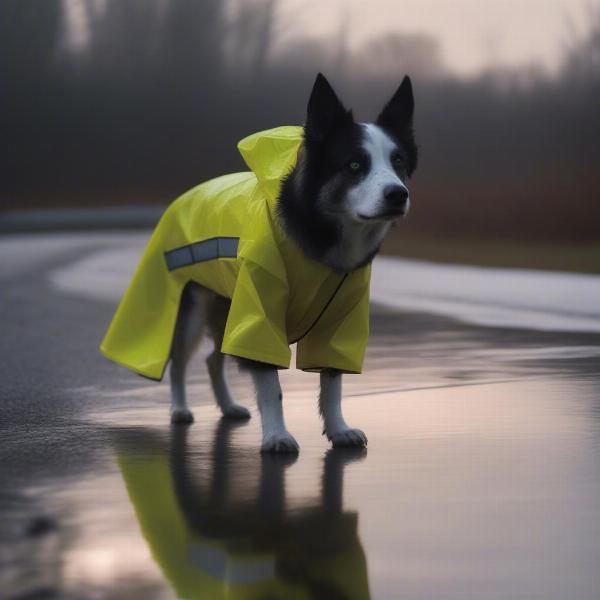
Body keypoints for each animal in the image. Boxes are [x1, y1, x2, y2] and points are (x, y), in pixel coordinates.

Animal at [99, 74, 418, 450]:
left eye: (398, 162)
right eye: (354, 164)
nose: (398, 194)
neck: (318, 230)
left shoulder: (338, 319)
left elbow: (332, 381)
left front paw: (338, 428)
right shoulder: (259, 312)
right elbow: (270, 382)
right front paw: (277, 435)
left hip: (228, 308)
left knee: (212, 359)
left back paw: (227, 405)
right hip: (194, 306)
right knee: (179, 361)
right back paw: (179, 409)